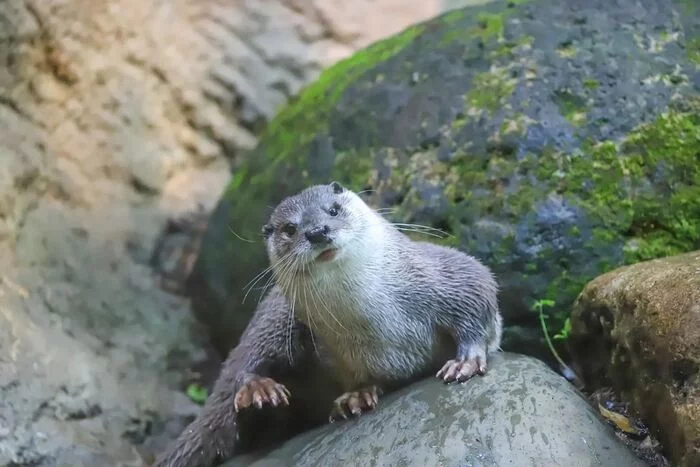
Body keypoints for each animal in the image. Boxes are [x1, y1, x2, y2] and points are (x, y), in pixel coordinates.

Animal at [154, 182, 504, 467]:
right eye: (290, 229)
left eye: (333, 209)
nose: (317, 231)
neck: (379, 320)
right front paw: (357, 395)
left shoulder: (444, 273)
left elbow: (478, 289)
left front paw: (466, 361)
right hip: (277, 320)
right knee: (244, 364)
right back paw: (257, 391)